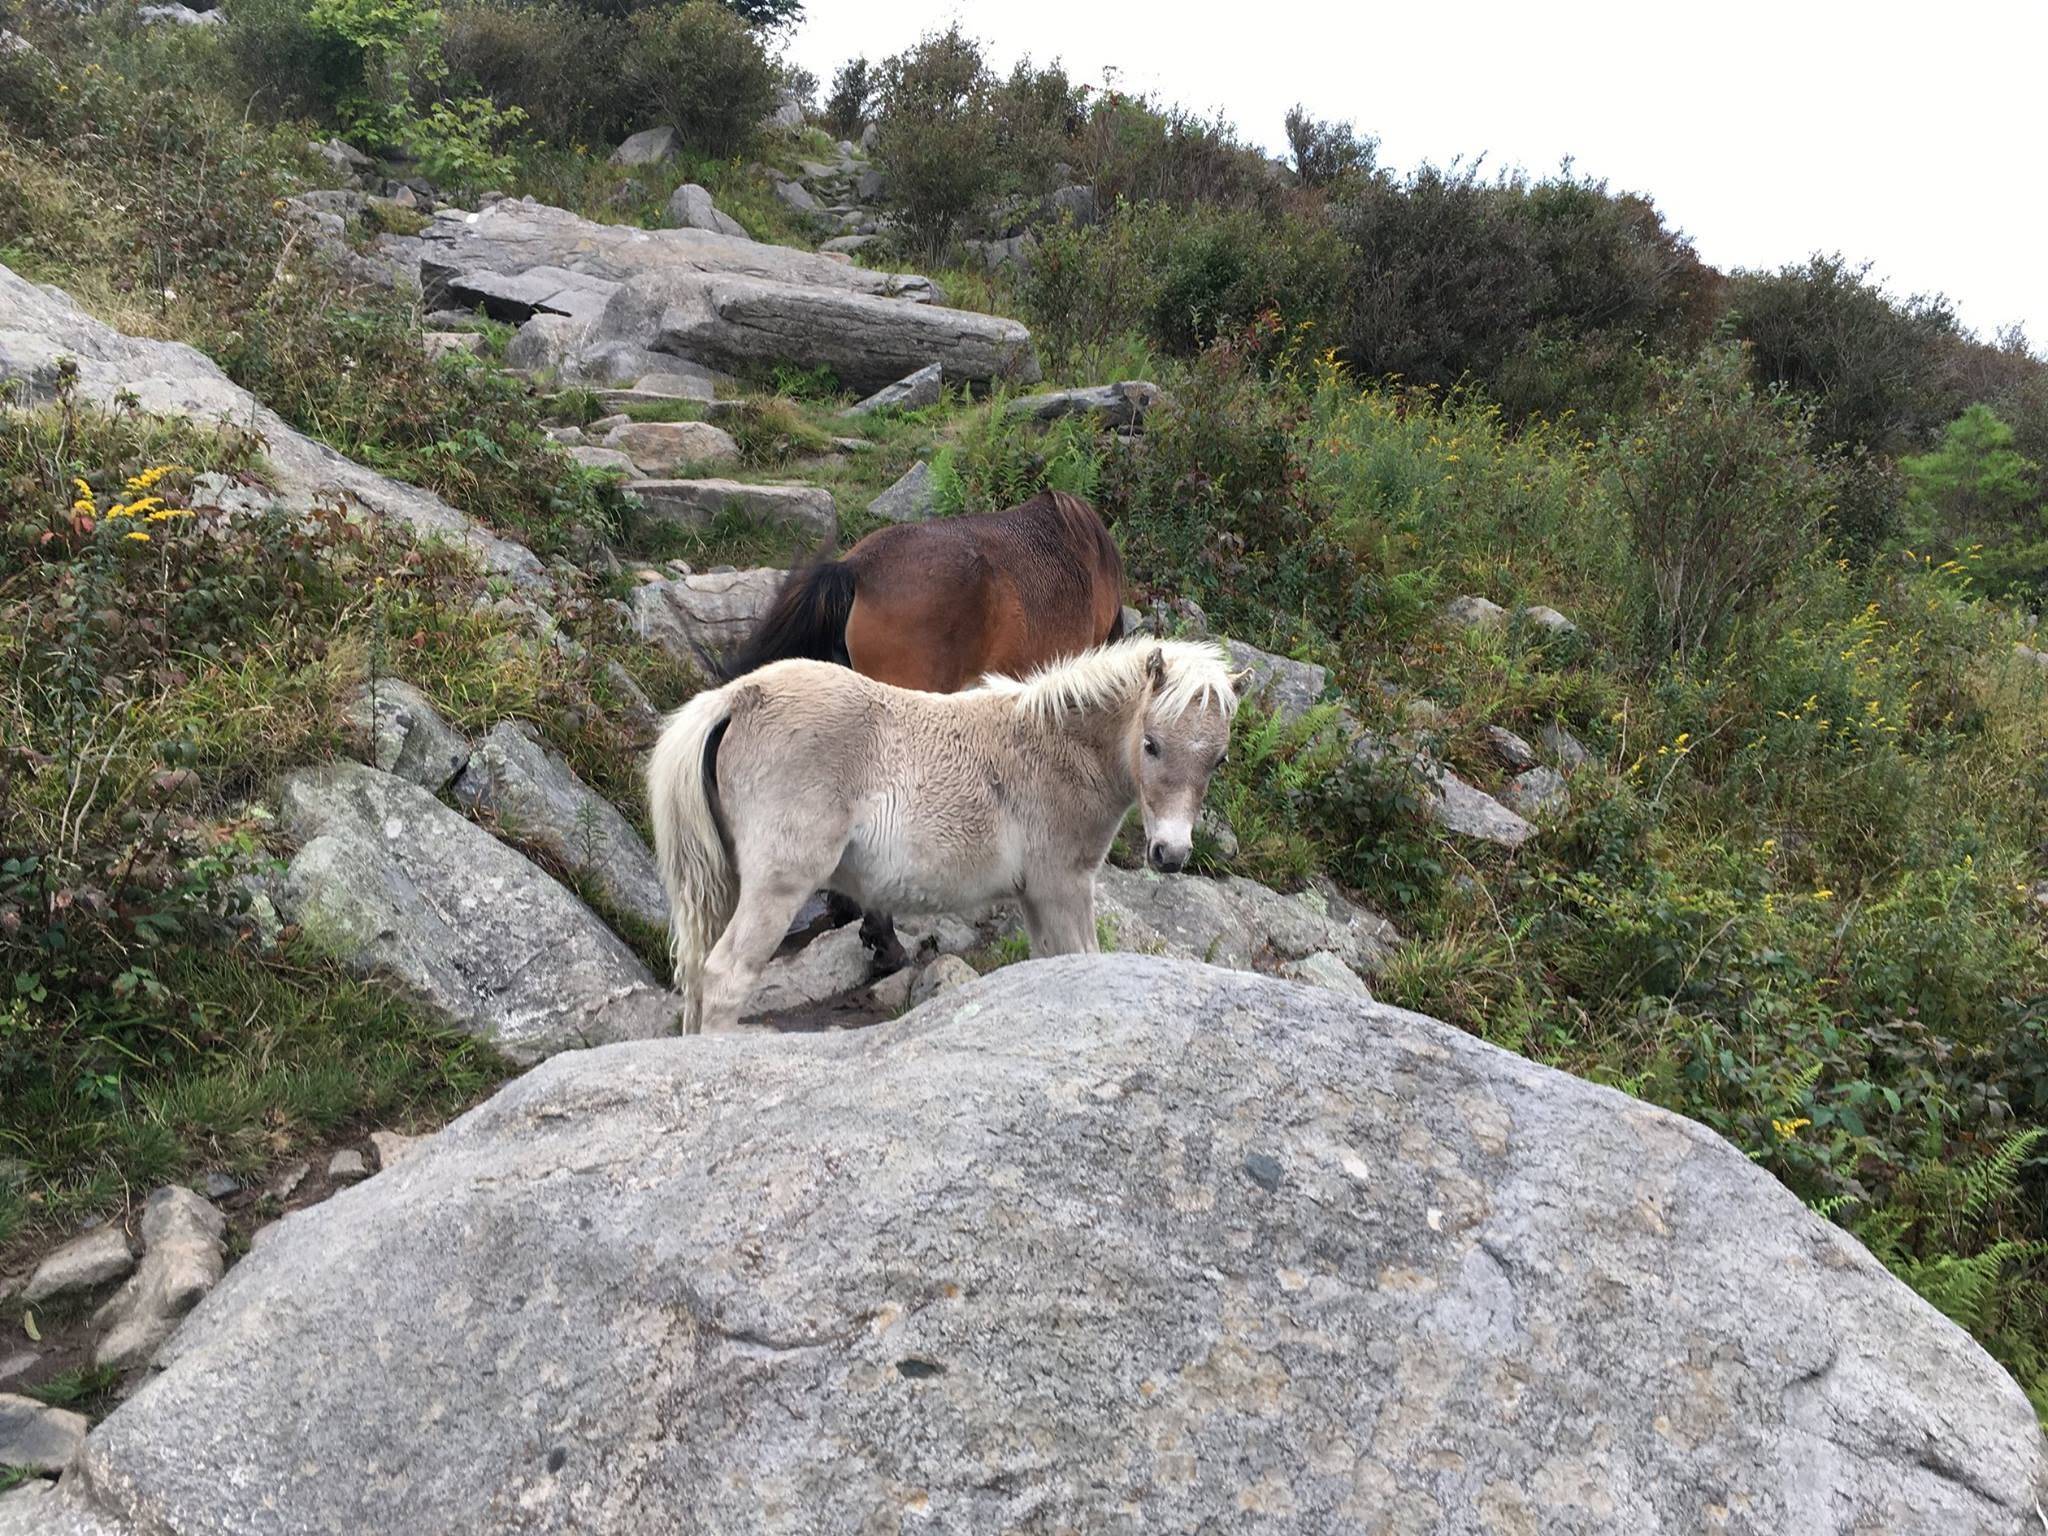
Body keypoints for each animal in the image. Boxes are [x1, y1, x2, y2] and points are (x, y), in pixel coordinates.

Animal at [648, 637, 1242, 1033]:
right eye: (1151, 744)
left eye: (1220, 759)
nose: (1171, 853)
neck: (1053, 746)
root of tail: (735, 698)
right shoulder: (1063, 887)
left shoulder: (1036, 898)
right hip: (778, 886)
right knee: (725, 977)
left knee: (698, 978)